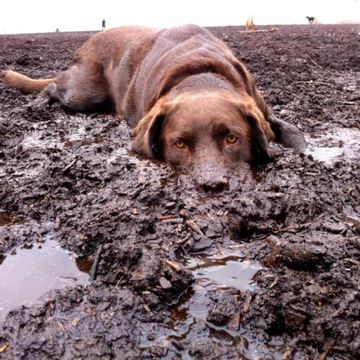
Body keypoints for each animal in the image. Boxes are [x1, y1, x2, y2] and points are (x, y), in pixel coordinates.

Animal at [0, 24, 306, 191]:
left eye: (232, 138)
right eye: (179, 144)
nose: (211, 185)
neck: (201, 76)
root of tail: (89, 39)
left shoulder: (260, 107)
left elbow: (292, 131)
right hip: (85, 93)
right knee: (53, 85)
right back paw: (38, 104)